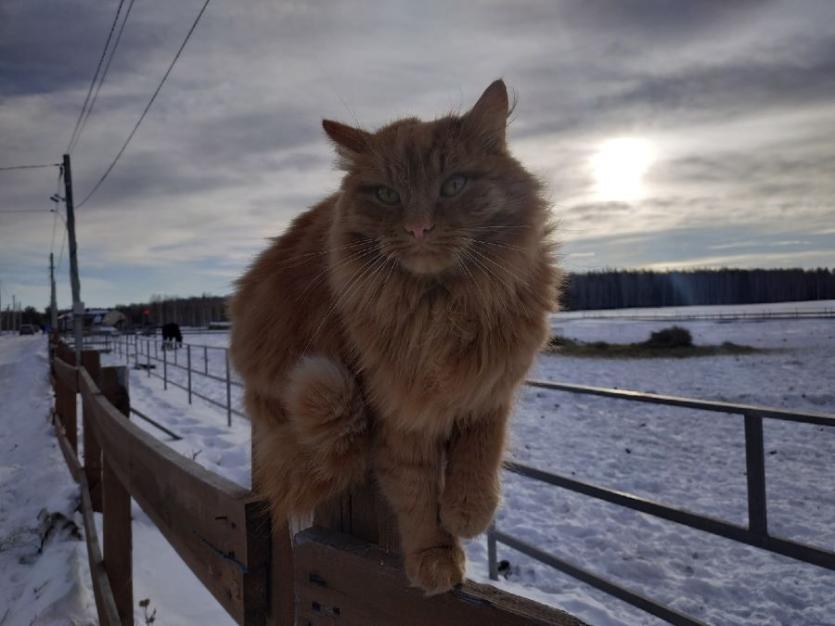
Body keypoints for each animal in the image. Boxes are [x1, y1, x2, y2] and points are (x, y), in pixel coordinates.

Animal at [229, 80, 560, 592]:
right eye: (386, 195)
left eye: (454, 185)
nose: (419, 227)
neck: (439, 308)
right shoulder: (399, 409)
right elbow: (416, 493)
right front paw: (434, 557)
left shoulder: (492, 382)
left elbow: (481, 450)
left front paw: (469, 511)